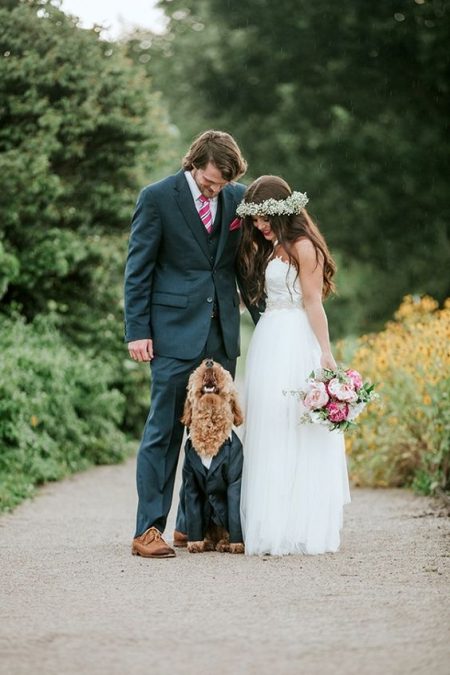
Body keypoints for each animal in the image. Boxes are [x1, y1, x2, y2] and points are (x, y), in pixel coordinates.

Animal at [181, 360, 246, 556]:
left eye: (220, 368)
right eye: (200, 367)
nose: (209, 362)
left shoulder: (235, 481)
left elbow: (234, 513)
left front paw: (236, 544)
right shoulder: (191, 483)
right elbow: (194, 515)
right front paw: (195, 543)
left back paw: (224, 543)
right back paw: (207, 542)